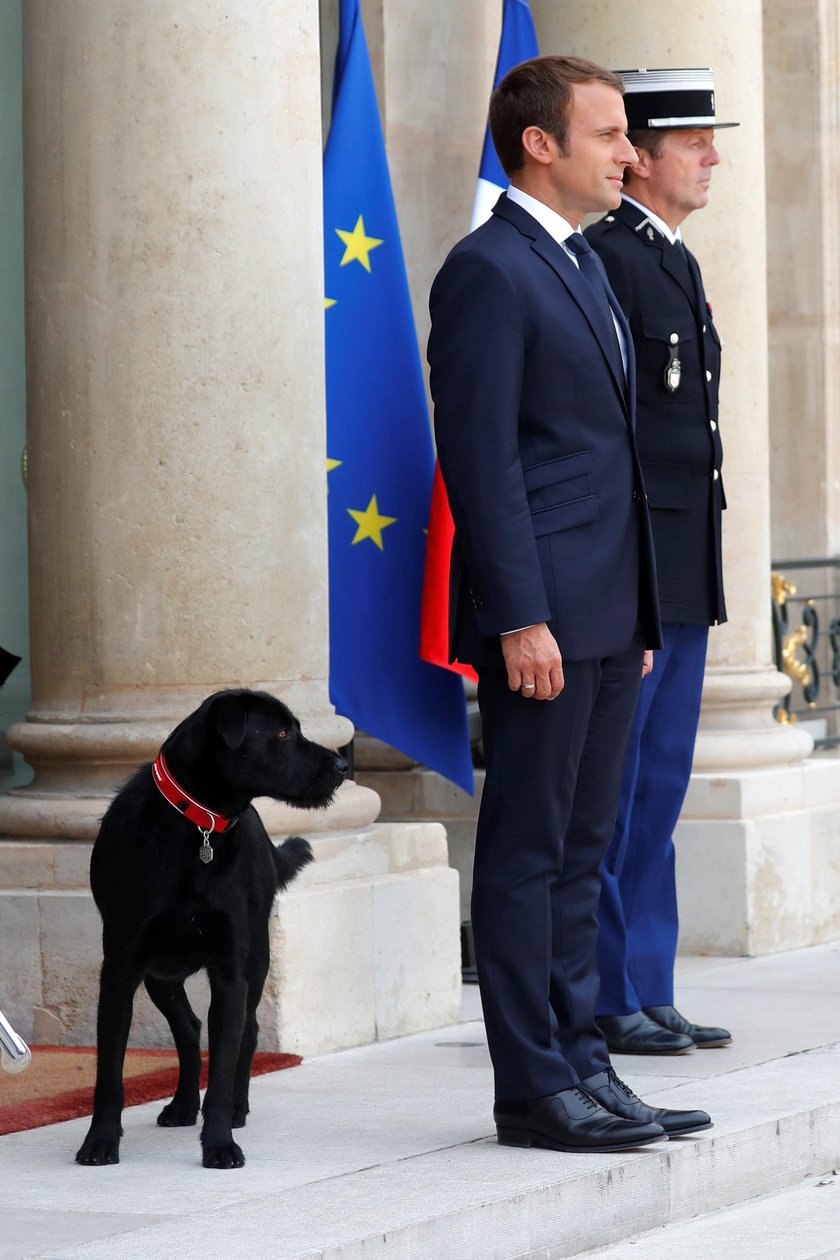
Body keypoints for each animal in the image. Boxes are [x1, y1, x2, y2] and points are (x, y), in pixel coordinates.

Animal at [73, 690, 347, 1169]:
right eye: (282, 732)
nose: (343, 765)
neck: (197, 824)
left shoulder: (230, 974)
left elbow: (221, 1067)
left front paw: (219, 1142)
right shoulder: (121, 972)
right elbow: (109, 1074)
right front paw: (100, 1141)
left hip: (256, 959)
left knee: (246, 1033)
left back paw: (237, 1108)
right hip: (161, 975)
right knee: (187, 1028)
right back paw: (183, 1105)